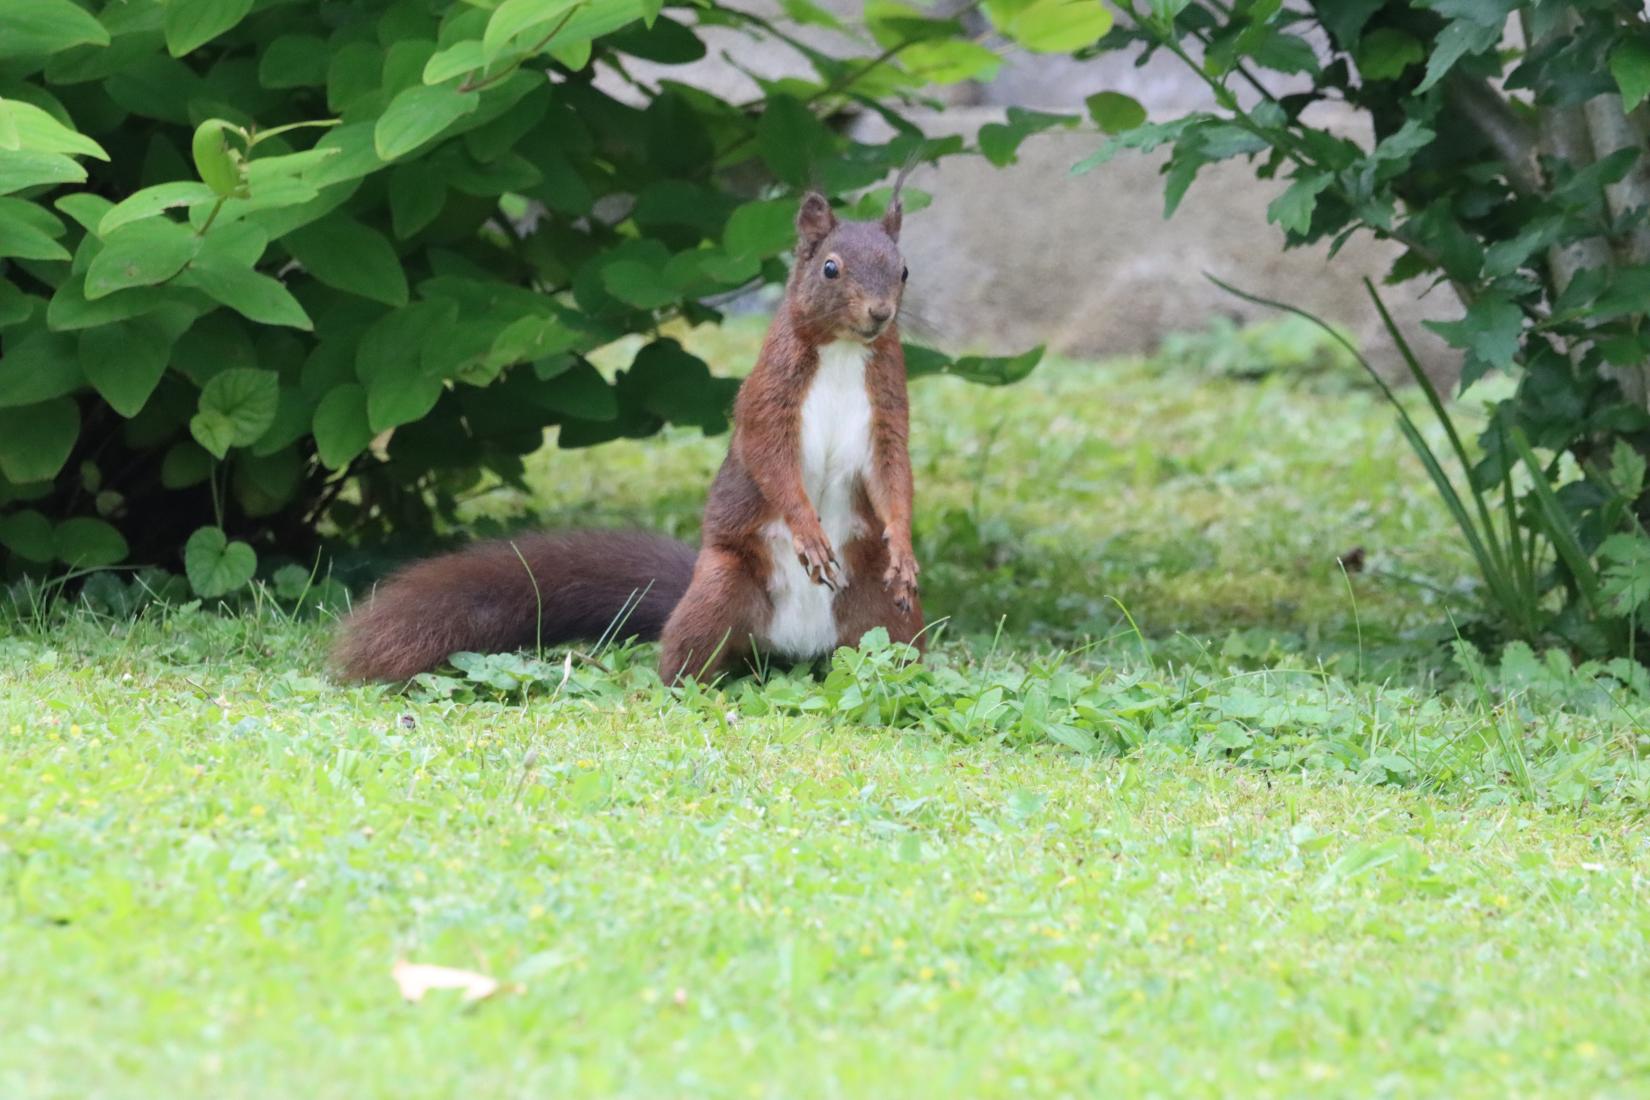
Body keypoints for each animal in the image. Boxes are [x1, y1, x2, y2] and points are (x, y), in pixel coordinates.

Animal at [331, 189, 930, 689]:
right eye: (831, 268)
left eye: (904, 270)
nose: (880, 313)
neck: (843, 353)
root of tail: (792, 646)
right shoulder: (768, 402)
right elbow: (771, 463)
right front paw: (808, 531)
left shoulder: (887, 415)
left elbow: (893, 476)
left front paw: (902, 546)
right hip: (720, 591)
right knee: (686, 656)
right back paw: (685, 691)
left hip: (886, 615)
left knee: (890, 651)